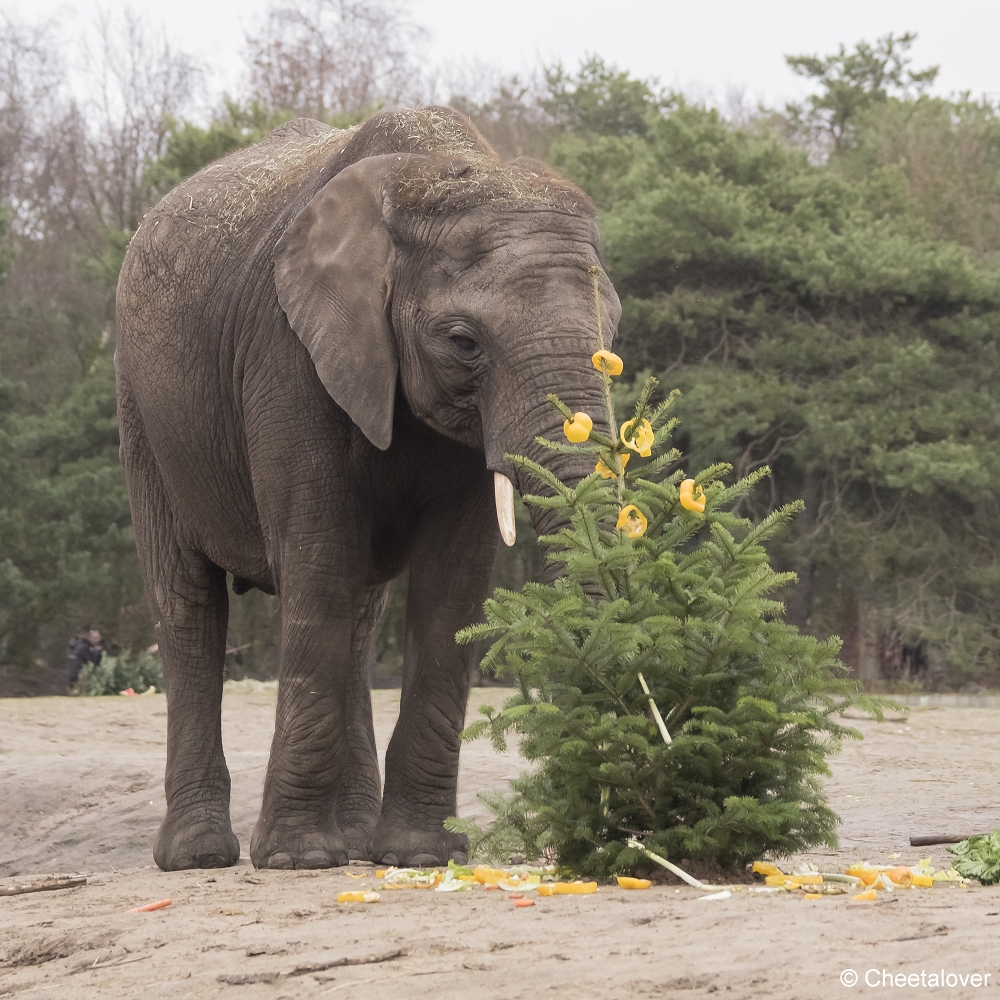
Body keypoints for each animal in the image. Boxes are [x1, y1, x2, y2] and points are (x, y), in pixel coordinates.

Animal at [115, 107, 616, 868]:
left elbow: (452, 588)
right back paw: (201, 856)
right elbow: (319, 565)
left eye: (612, 334)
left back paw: (351, 840)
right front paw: (295, 858)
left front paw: (419, 856)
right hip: (143, 413)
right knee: (190, 607)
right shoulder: (286, 353)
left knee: (356, 613)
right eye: (464, 342)